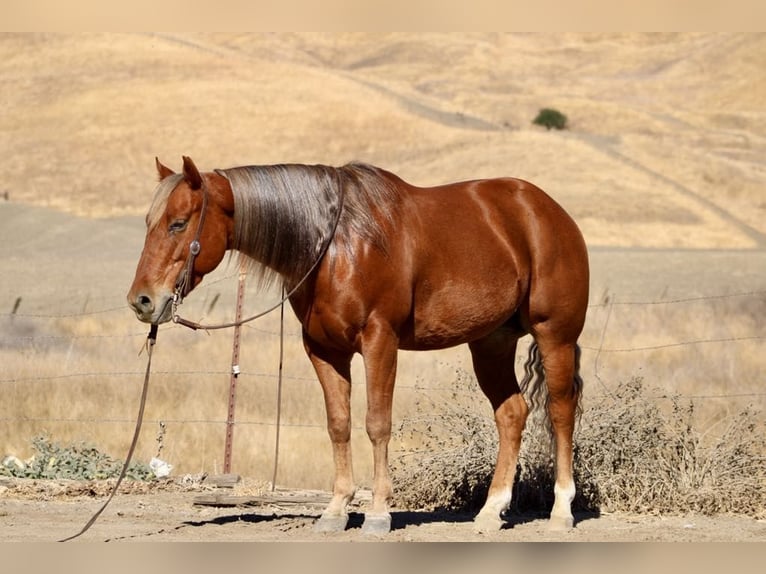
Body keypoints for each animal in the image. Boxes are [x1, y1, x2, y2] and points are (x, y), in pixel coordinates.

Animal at [127, 156, 589, 535]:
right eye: (149, 223)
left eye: (178, 223)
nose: (142, 300)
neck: (335, 247)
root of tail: (549, 212)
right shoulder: (324, 350)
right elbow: (339, 425)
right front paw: (336, 511)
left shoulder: (379, 341)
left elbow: (377, 423)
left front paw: (379, 513)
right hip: (490, 344)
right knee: (512, 413)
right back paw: (491, 512)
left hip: (555, 337)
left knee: (561, 412)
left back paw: (561, 511)